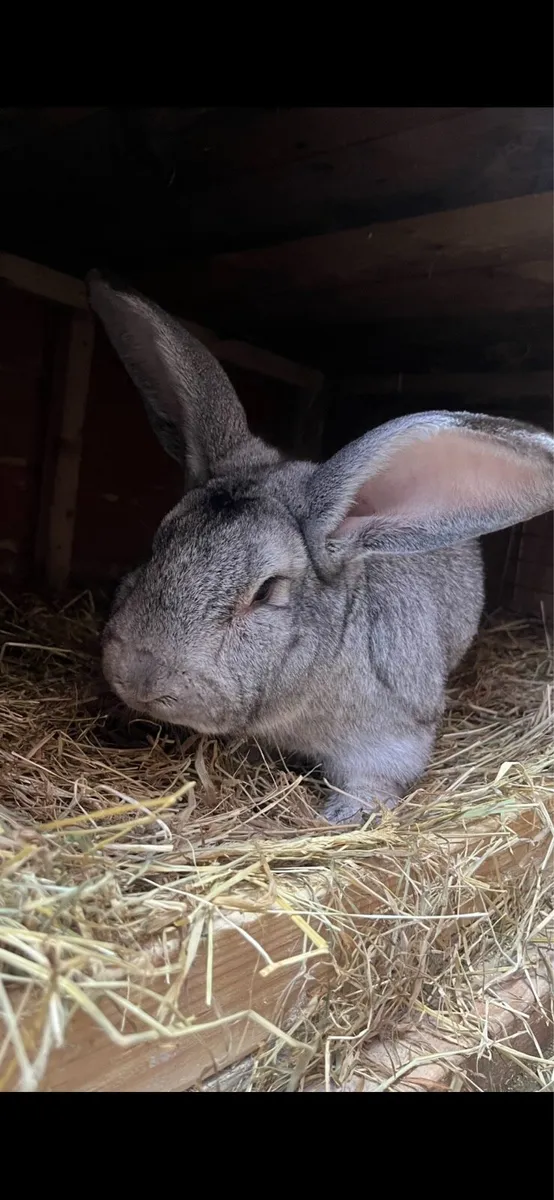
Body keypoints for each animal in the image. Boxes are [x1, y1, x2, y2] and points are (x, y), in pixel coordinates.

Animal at [87, 270, 554, 824]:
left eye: (266, 591)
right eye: (158, 543)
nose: (138, 676)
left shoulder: (391, 738)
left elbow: (373, 782)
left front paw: (342, 818)